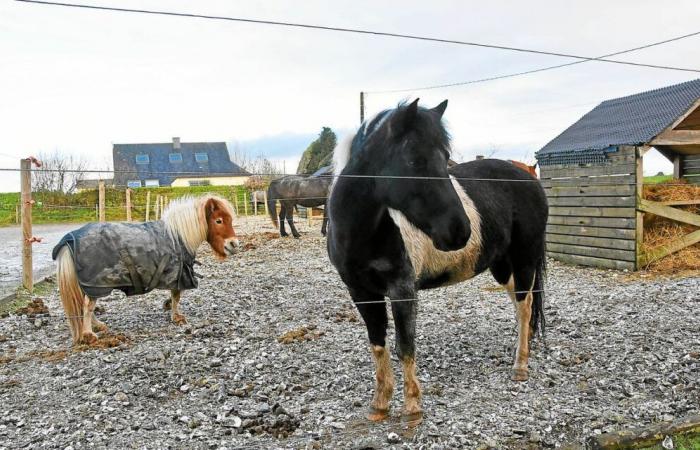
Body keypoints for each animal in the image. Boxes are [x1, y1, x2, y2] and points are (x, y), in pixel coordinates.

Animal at [51, 193, 238, 344]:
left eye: (230, 220)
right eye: (218, 221)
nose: (234, 244)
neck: (178, 235)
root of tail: (70, 239)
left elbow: (174, 296)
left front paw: (168, 307)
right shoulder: (179, 274)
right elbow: (177, 296)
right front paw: (176, 317)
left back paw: (97, 326)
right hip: (96, 284)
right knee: (87, 306)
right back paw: (88, 334)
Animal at [326, 98, 548, 422]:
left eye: (445, 158)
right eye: (414, 161)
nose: (460, 231)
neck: (364, 231)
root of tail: (529, 179)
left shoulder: (403, 289)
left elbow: (405, 345)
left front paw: (412, 407)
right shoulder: (361, 292)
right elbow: (377, 344)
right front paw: (379, 404)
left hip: (524, 258)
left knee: (525, 304)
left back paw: (520, 366)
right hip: (501, 265)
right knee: (523, 305)